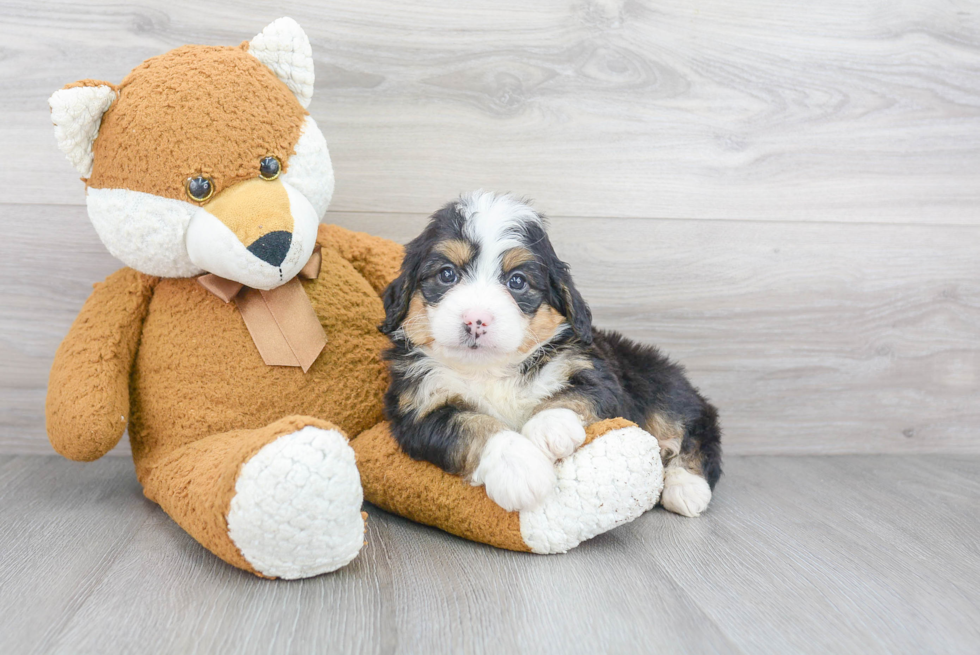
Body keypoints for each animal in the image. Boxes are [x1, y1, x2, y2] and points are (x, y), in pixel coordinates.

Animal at [380, 191, 720, 516]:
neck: (491, 370)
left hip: (658, 388)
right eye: (447, 274)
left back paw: (686, 487)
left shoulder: (595, 372)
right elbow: (472, 425)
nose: (476, 319)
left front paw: (550, 426)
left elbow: (572, 394)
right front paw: (520, 470)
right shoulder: (419, 409)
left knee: (698, 428)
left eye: (517, 281)